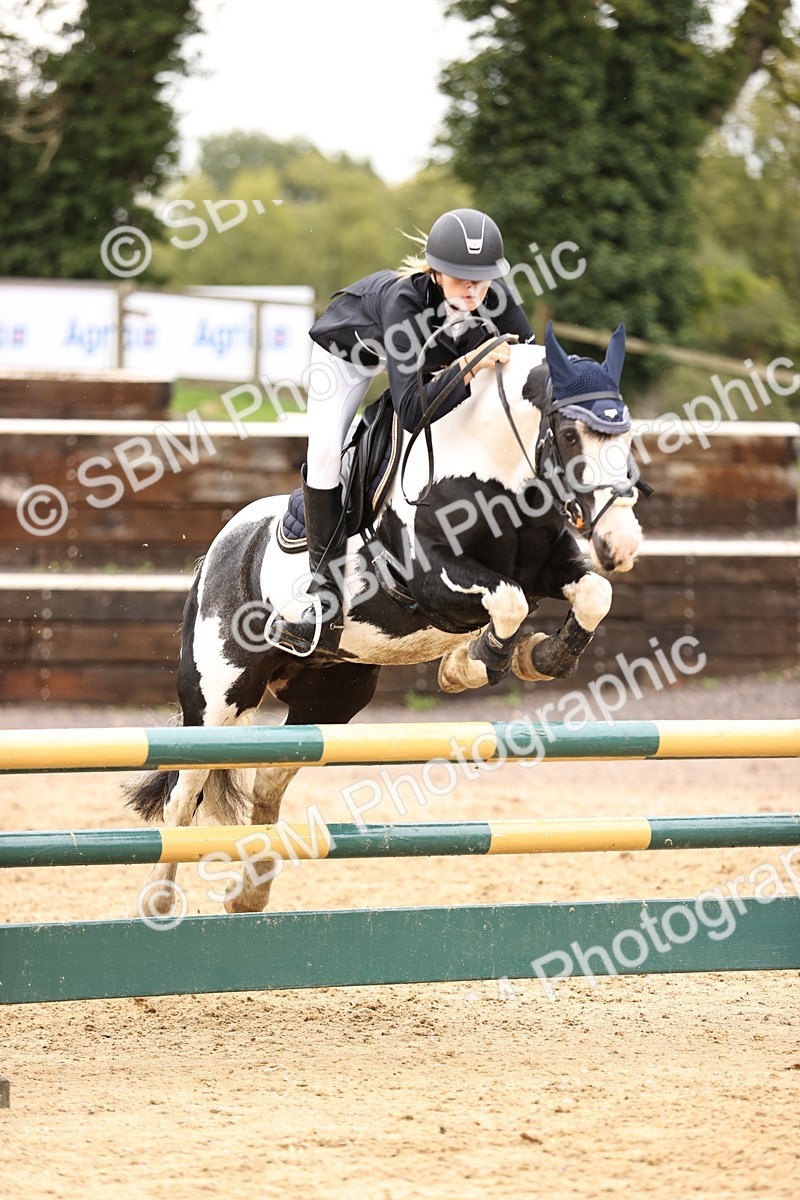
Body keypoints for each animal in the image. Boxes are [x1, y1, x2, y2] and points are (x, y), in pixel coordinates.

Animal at [127, 322, 644, 915]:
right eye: (570, 436)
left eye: (627, 436)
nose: (621, 541)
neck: (490, 471)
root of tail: (217, 552)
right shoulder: (432, 577)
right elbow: (508, 602)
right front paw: (473, 664)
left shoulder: (550, 566)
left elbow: (594, 594)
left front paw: (539, 657)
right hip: (217, 699)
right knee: (182, 796)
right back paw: (156, 905)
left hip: (330, 698)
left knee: (268, 777)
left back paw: (251, 891)